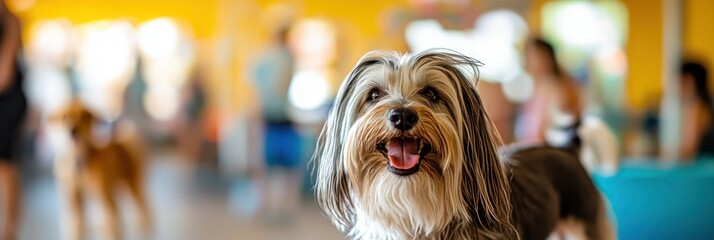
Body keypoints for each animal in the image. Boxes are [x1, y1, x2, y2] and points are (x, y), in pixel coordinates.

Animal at [52, 102, 150, 240]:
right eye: (64, 117)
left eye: (83, 116)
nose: (73, 130)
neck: (79, 160)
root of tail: (122, 142)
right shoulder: (74, 197)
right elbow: (77, 225)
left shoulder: (103, 194)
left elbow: (111, 222)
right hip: (110, 189)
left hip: (131, 183)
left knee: (142, 205)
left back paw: (144, 224)